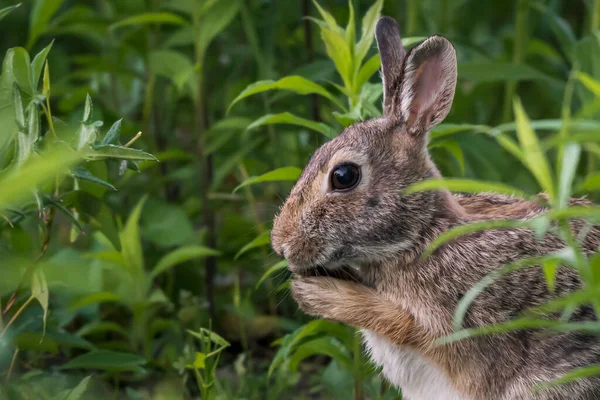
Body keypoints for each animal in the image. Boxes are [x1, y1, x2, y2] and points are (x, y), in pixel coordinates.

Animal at [270, 14, 600, 400]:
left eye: (343, 176)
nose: (281, 243)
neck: (422, 235)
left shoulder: (458, 322)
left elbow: (402, 324)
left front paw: (315, 294)